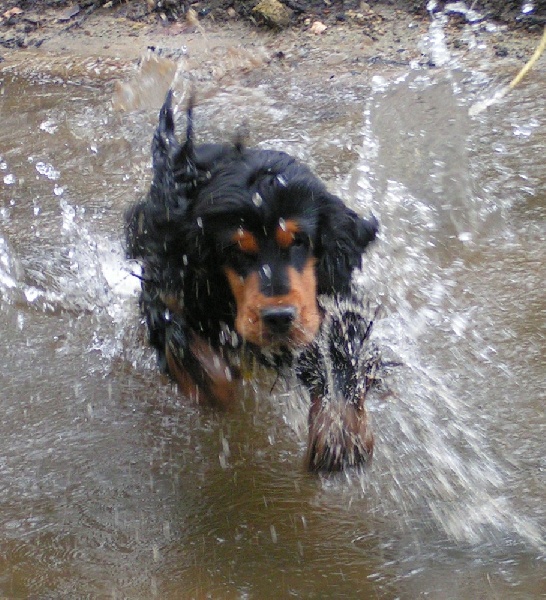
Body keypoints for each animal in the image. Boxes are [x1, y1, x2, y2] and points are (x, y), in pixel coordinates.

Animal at [124, 91, 378, 472]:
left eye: (299, 240)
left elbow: (342, 347)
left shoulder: (331, 296)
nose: (278, 318)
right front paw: (211, 381)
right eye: (235, 249)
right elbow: (176, 333)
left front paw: (341, 434)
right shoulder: (170, 281)